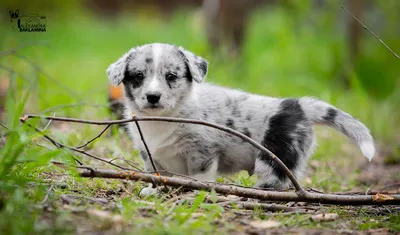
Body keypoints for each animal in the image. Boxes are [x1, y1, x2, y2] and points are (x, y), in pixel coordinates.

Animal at [106, 43, 376, 196]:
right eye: (138, 76)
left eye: (171, 76)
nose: (153, 97)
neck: (163, 120)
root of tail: (296, 105)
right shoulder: (150, 155)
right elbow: (155, 174)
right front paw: (152, 191)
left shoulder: (202, 154)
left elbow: (199, 179)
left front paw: (195, 194)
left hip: (273, 157)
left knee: (277, 181)